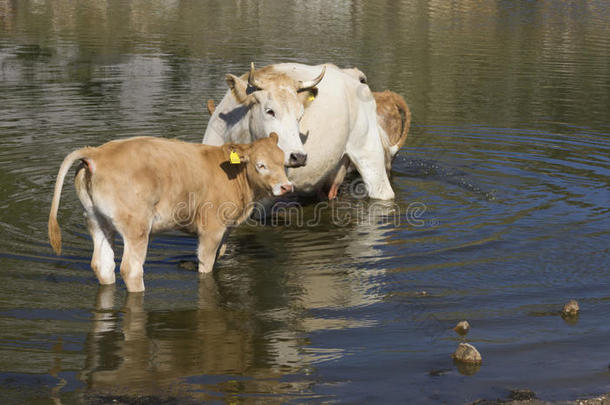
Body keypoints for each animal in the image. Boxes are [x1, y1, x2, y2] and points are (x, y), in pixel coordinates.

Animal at [47, 133, 290, 290]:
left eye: (283, 162)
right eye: (261, 165)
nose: (286, 187)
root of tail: (97, 152)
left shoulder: (225, 230)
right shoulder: (211, 229)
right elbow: (206, 263)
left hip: (97, 221)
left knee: (103, 264)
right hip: (136, 227)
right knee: (131, 268)